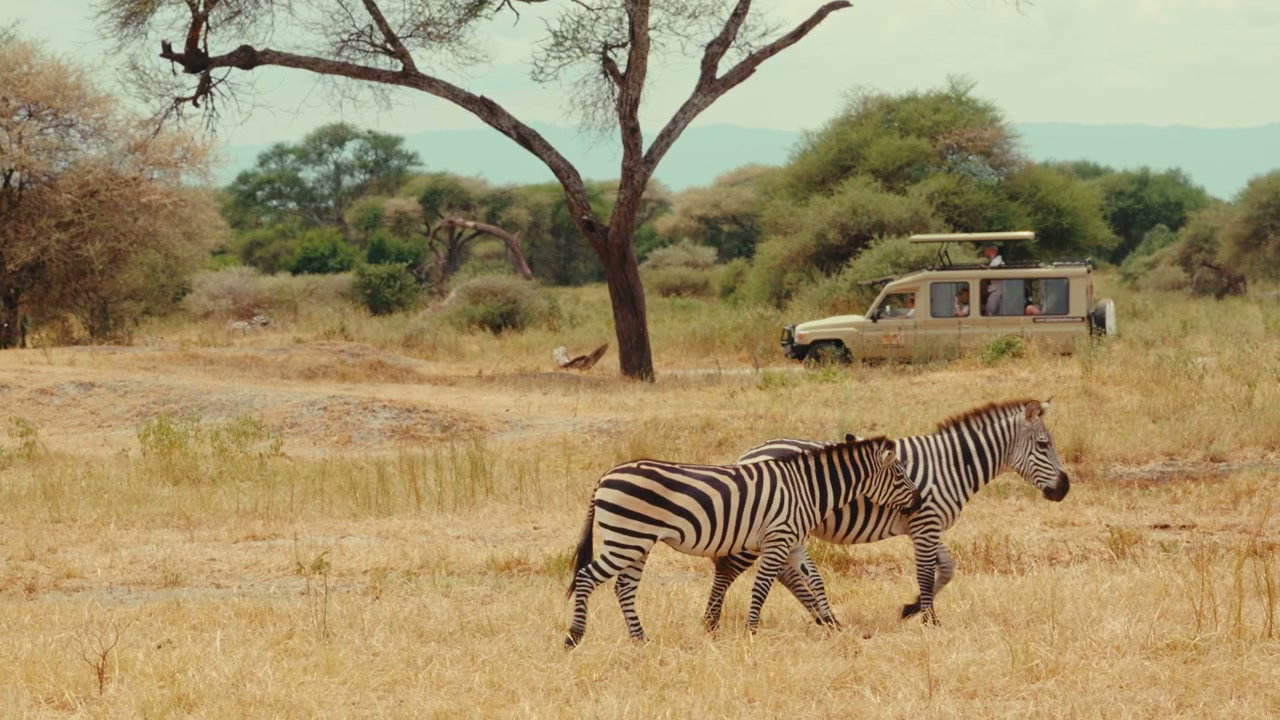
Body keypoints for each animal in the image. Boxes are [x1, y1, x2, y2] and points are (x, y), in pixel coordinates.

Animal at [564, 436, 922, 648]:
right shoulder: (778, 538)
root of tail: (606, 476)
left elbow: (817, 581)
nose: (919, 501)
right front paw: (752, 631)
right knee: (585, 577)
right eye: (900, 475)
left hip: (636, 543)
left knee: (623, 588)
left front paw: (833, 623)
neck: (807, 489)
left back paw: (640, 639)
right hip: (626, 539)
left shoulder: (793, 541)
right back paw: (574, 637)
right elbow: (762, 586)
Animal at [703, 398, 1069, 629]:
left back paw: (822, 617)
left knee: (782, 573)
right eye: (1042, 445)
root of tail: (747, 455)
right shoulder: (926, 523)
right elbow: (925, 573)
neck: (952, 465)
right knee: (743, 569)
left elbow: (947, 569)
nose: (1064, 488)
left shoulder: (927, 524)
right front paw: (929, 620)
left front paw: (911, 609)